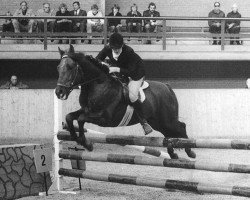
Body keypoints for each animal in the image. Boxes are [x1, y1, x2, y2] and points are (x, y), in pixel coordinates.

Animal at [55, 45, 196, 159]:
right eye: (58, 68)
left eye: (70, 67)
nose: (59, 92)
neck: (97, 85)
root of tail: (167, 87)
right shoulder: (86, 110)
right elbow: (69, 117)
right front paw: (78, 139)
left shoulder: (105, 119)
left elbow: (81, 119)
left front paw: (86, 144)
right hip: (157, 122)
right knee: (169, 135)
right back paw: (173, 154)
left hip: (167, 120)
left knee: (181, 127)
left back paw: (190, 152)